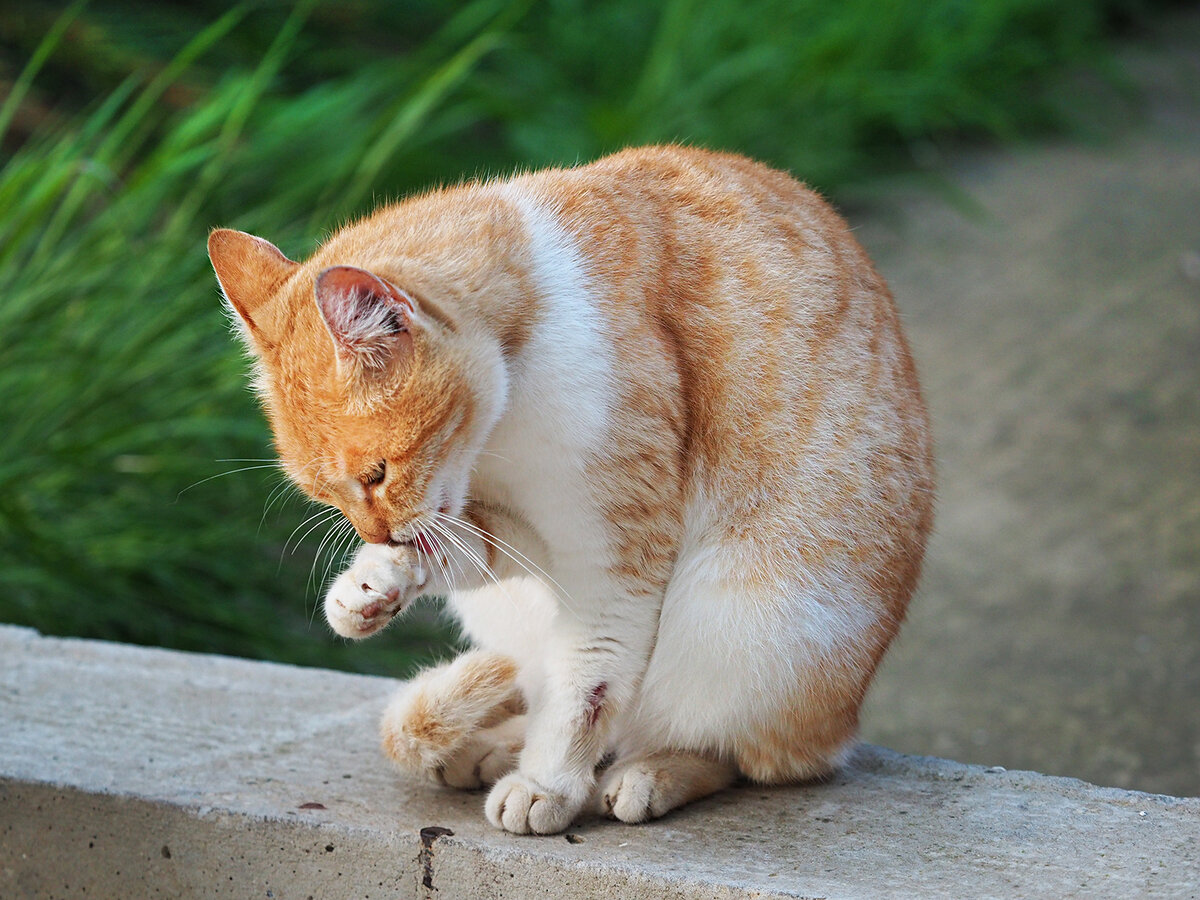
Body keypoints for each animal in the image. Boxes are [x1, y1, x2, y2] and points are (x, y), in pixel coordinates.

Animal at [208, 142, 936, 840]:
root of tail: (844, 723)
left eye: (376, 474)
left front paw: (548, 784)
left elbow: (586, 681)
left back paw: (643, 773)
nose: (375, 533)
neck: (502, 429)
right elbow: (455, 558)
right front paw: (367, 587)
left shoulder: (614, 558)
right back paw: (492, 747)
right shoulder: (517, 533)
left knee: (731, 751)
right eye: (325, 494)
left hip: (746, 617)